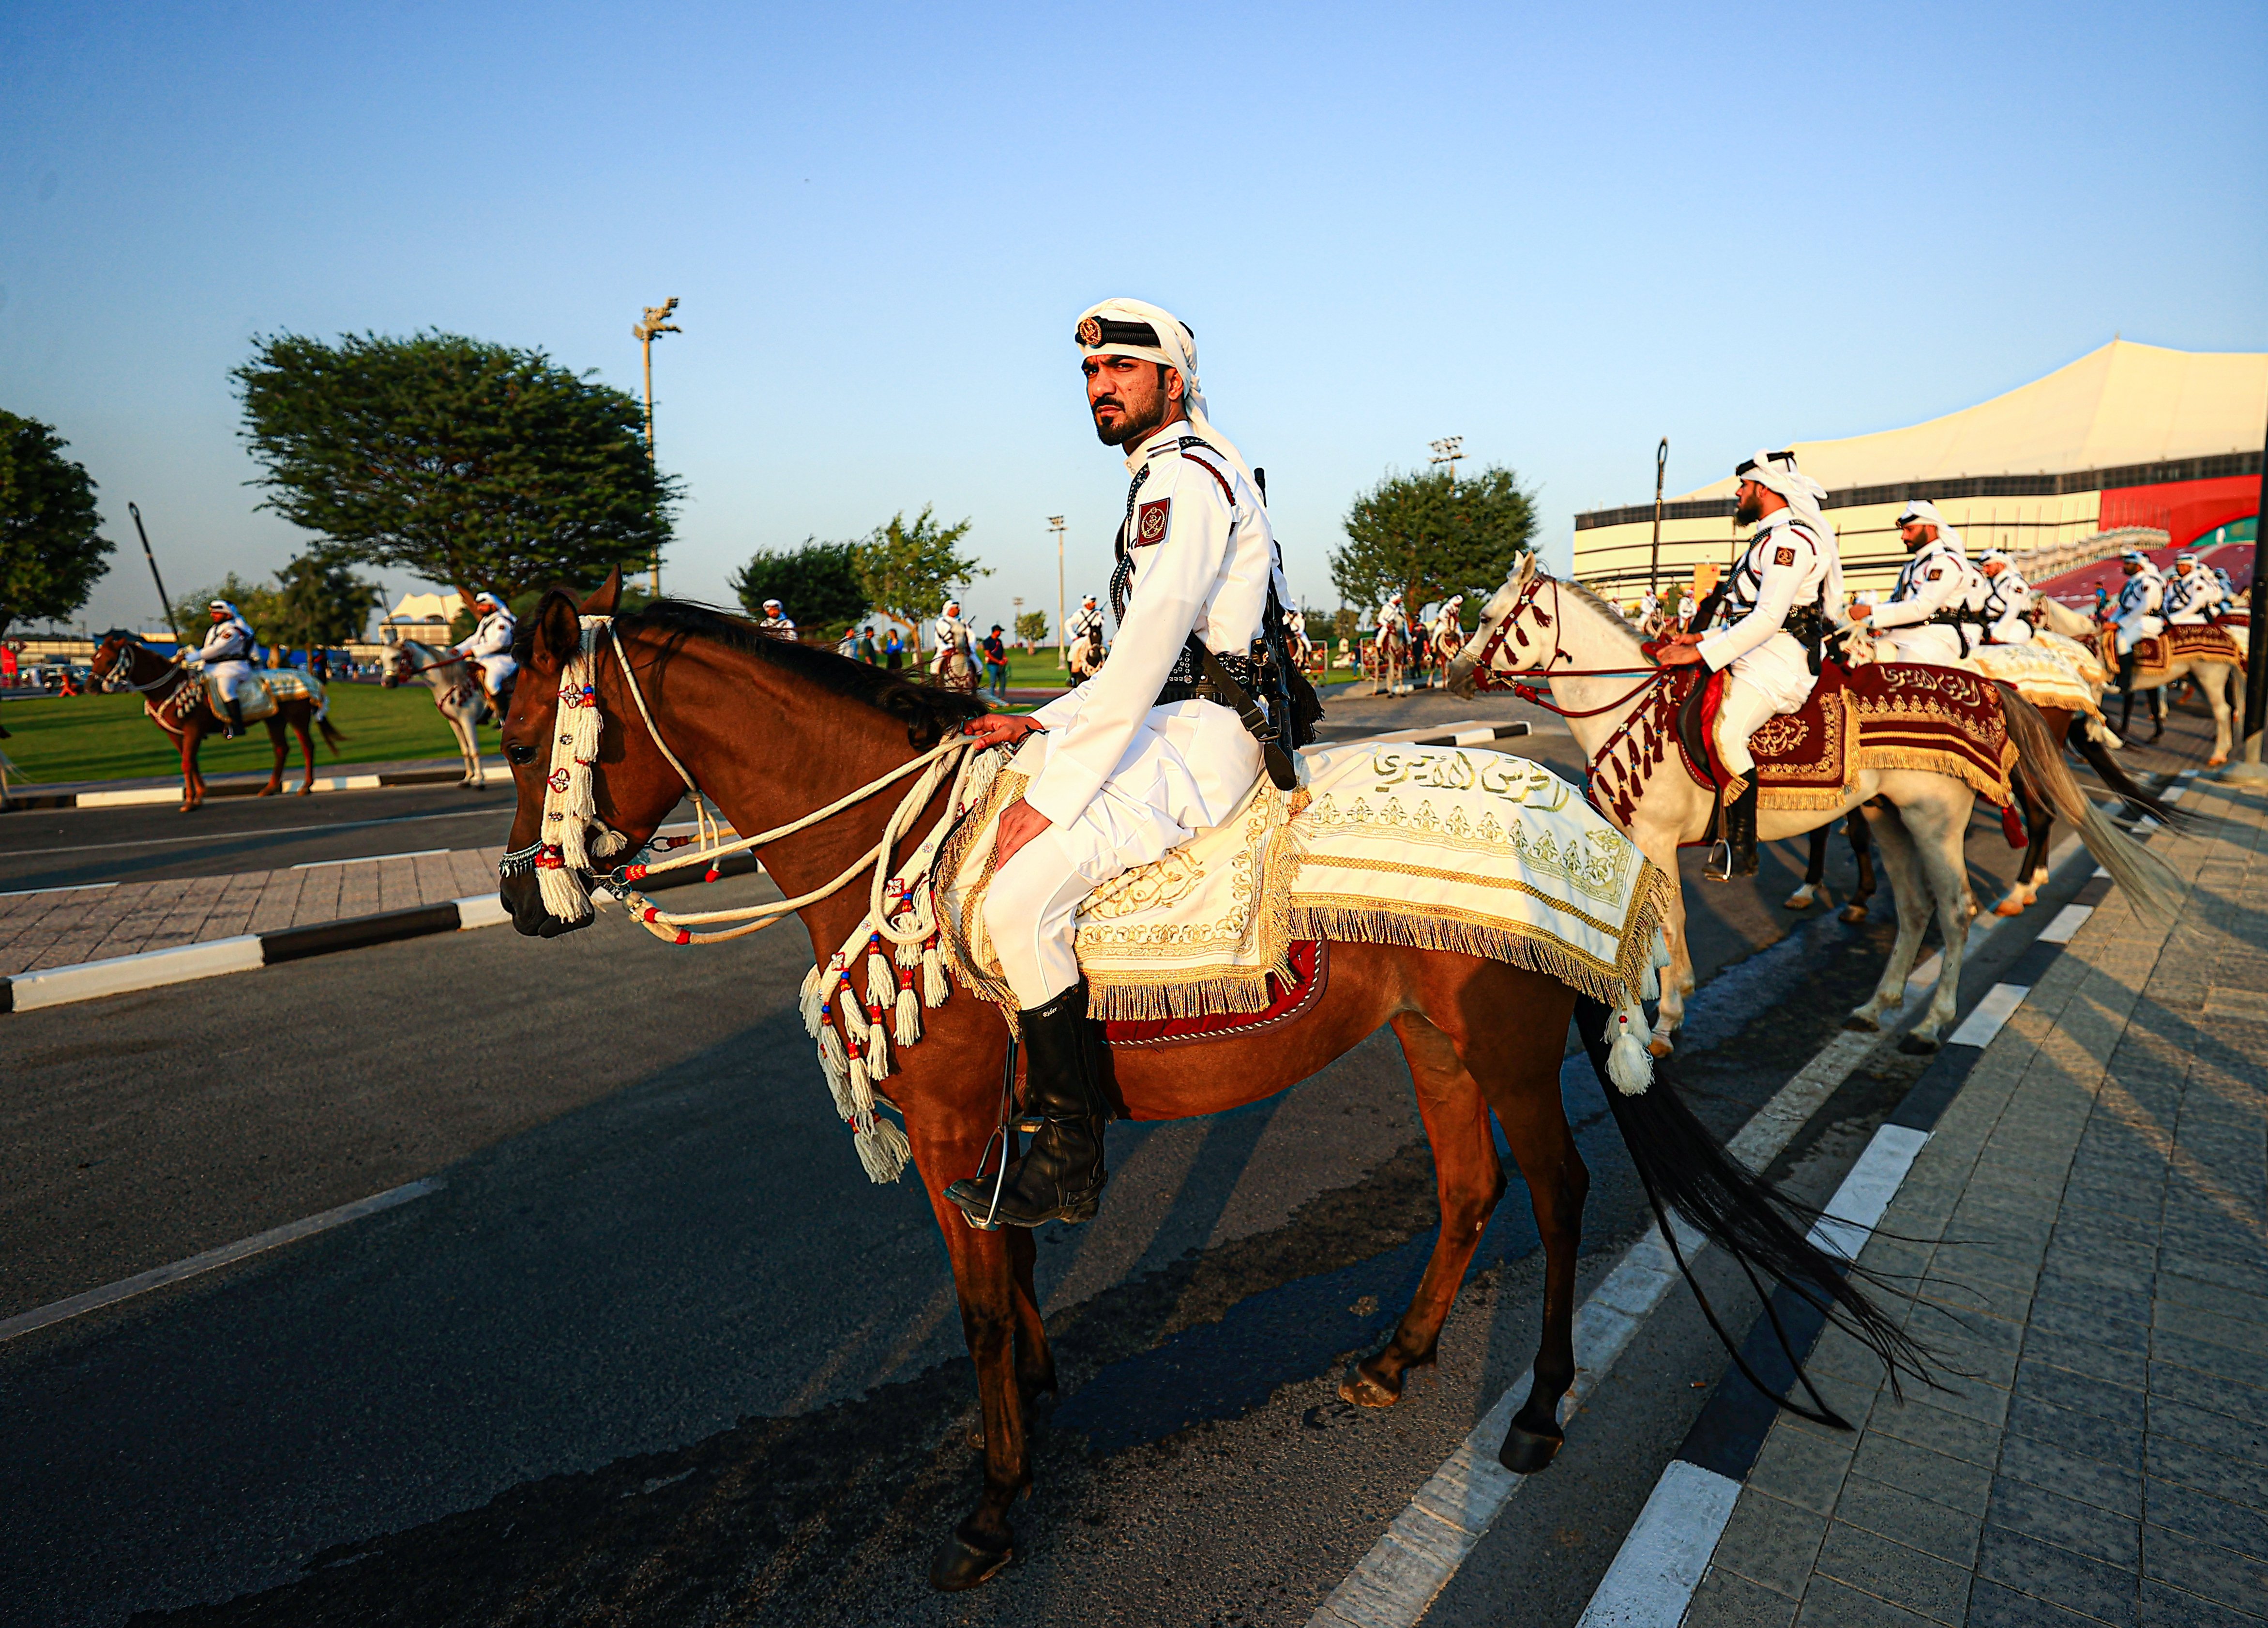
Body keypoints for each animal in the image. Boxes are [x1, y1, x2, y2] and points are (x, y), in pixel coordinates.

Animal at [88, 639, 342, 816]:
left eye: (109, 660)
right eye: (93, 658)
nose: (90, 687)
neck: (168, 687)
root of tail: (310, 679)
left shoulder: (193, 729)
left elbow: (187, 762)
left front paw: (191, 801)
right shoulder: (176, 735)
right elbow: (191, 762)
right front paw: (199, 795)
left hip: (297, 718)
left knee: (307, 746)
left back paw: (306, 786)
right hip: (274, 720)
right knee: (281, 749)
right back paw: (270, 788)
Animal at [381, 639, 492, 789]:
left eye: (395, 658)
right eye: (381, 659)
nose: (386, 683)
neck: (452, 683)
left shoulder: (467, 720)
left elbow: (474, 750)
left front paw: (479, 780)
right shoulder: (455, 723)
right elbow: (465, 750)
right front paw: (468, 779)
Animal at [492, 571, 1914, 1596]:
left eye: (523, 731)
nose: (521, 896)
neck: (900, 851)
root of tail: (1568, 800)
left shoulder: (952, 1131)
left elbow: (977, 1313)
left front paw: (993, 1502)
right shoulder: (996, 1133)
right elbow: (1014, 1274)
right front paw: (1034, 1409)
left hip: (1505, 1051)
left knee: (1557, 1192)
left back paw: (1537, 1408)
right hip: (1433, 1038)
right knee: (1469, 1186)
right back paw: (1398, 1355)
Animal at [1452, 562, 2177, 1056]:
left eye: (1487, 619)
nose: (1452, 671)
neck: (1631, 703)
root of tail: (1990, 686)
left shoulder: (1656, 839)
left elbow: (1672, 924)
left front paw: (1667, 1019)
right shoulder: (1649, 843)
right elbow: (1657, 925)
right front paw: (1657, 1003)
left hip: (1933, 821)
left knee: (1954, 909)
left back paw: (1933, 1018)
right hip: (1887, 816)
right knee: (1915, 907)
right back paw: (1878, 1003)